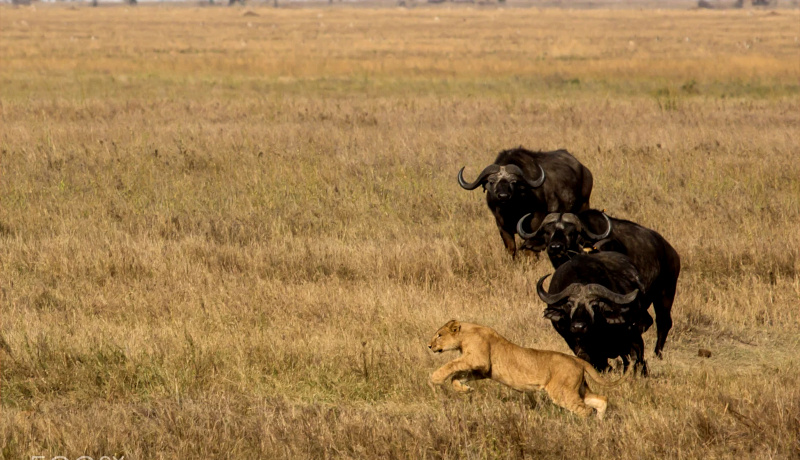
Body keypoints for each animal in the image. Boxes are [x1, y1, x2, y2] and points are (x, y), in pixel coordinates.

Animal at [456, 149, 592, 260]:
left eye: (513, 181)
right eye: (491, 181)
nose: (503, 196)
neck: (511, 211)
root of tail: (585, 170)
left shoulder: (535, 223)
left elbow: (529, 249)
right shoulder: (502, 226)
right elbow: (511, 248)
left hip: (584, 206)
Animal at [520, 210, 680, 358]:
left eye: (572, 232)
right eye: (548, 232)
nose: (555, 247)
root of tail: (671, 251)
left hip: (665, 293)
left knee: (663, 322)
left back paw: (657, 354)